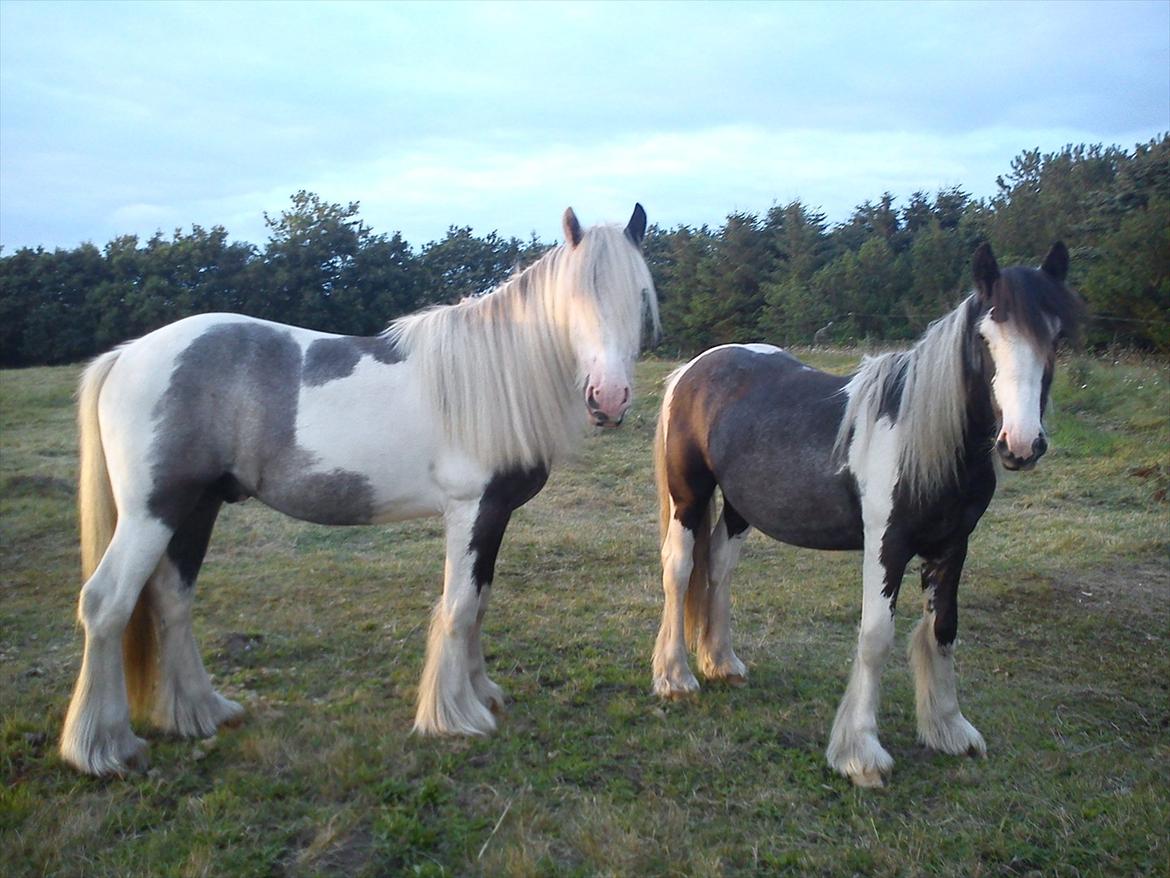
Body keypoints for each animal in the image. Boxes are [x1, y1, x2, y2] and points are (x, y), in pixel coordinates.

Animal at [61, 204, 659, 777]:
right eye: (576, 296)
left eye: (639, 295)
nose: (609, 399)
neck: (497, 375)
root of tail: (127, 354)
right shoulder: (471, 510)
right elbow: (461, 605)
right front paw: (455, 715)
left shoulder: (496, 515)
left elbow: (481, 602)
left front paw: (482, 693)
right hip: (152, 513)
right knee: (107, 603)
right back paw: (105, 749)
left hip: (196, 508)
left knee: (172, 598)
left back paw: (202, 712)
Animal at [650, 242, 1076, 791]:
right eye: (986, 336)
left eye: (1056, 336)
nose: (1021, 444)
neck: (925, 440)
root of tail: (693, 369)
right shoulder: (886, 545)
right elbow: (875, 639)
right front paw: (861, 754)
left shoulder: (953, 544)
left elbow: (943, 629)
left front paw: (949, 730)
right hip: (689, 497)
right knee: (680, 571)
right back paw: (676, 677)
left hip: (742, 506)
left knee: (719, 567)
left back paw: (723, 662)